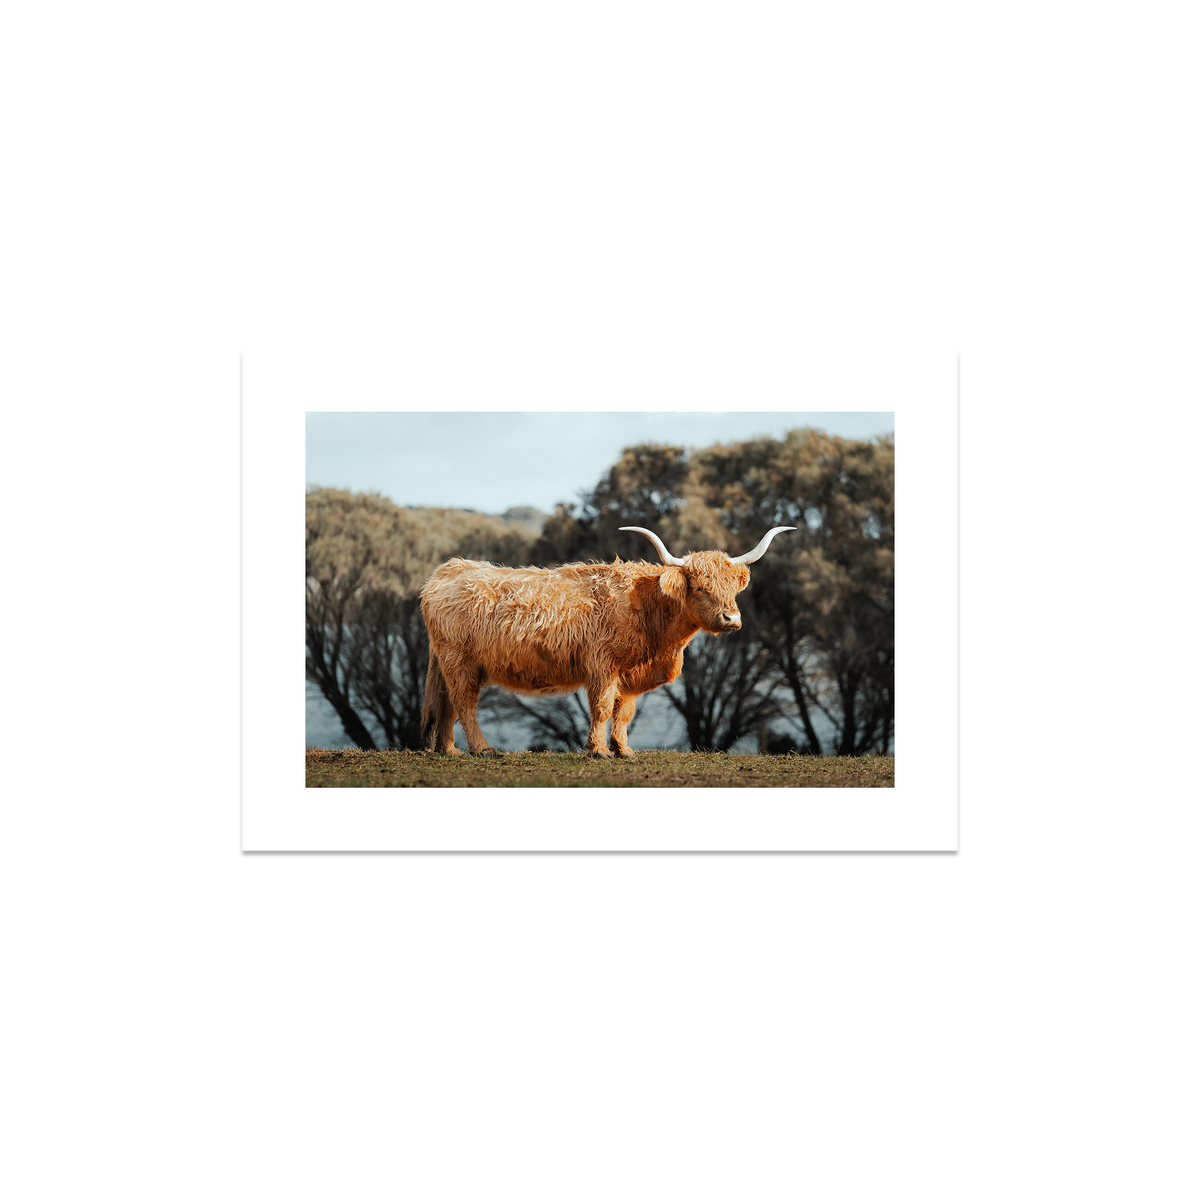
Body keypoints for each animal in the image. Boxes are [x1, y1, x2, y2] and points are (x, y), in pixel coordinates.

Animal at [419, 525, 795, 758]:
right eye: (701, 587)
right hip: (460, 660)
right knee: (465, 703)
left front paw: (624, 750)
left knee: (447, 703)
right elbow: (601, 707)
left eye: (733, 588)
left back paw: (449, 749)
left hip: (453, 663)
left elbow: (624, 711)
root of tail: (449, 569)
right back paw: (482, 749)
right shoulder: (602, 665)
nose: (731, 619)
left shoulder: (630, 673)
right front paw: (598, 750)